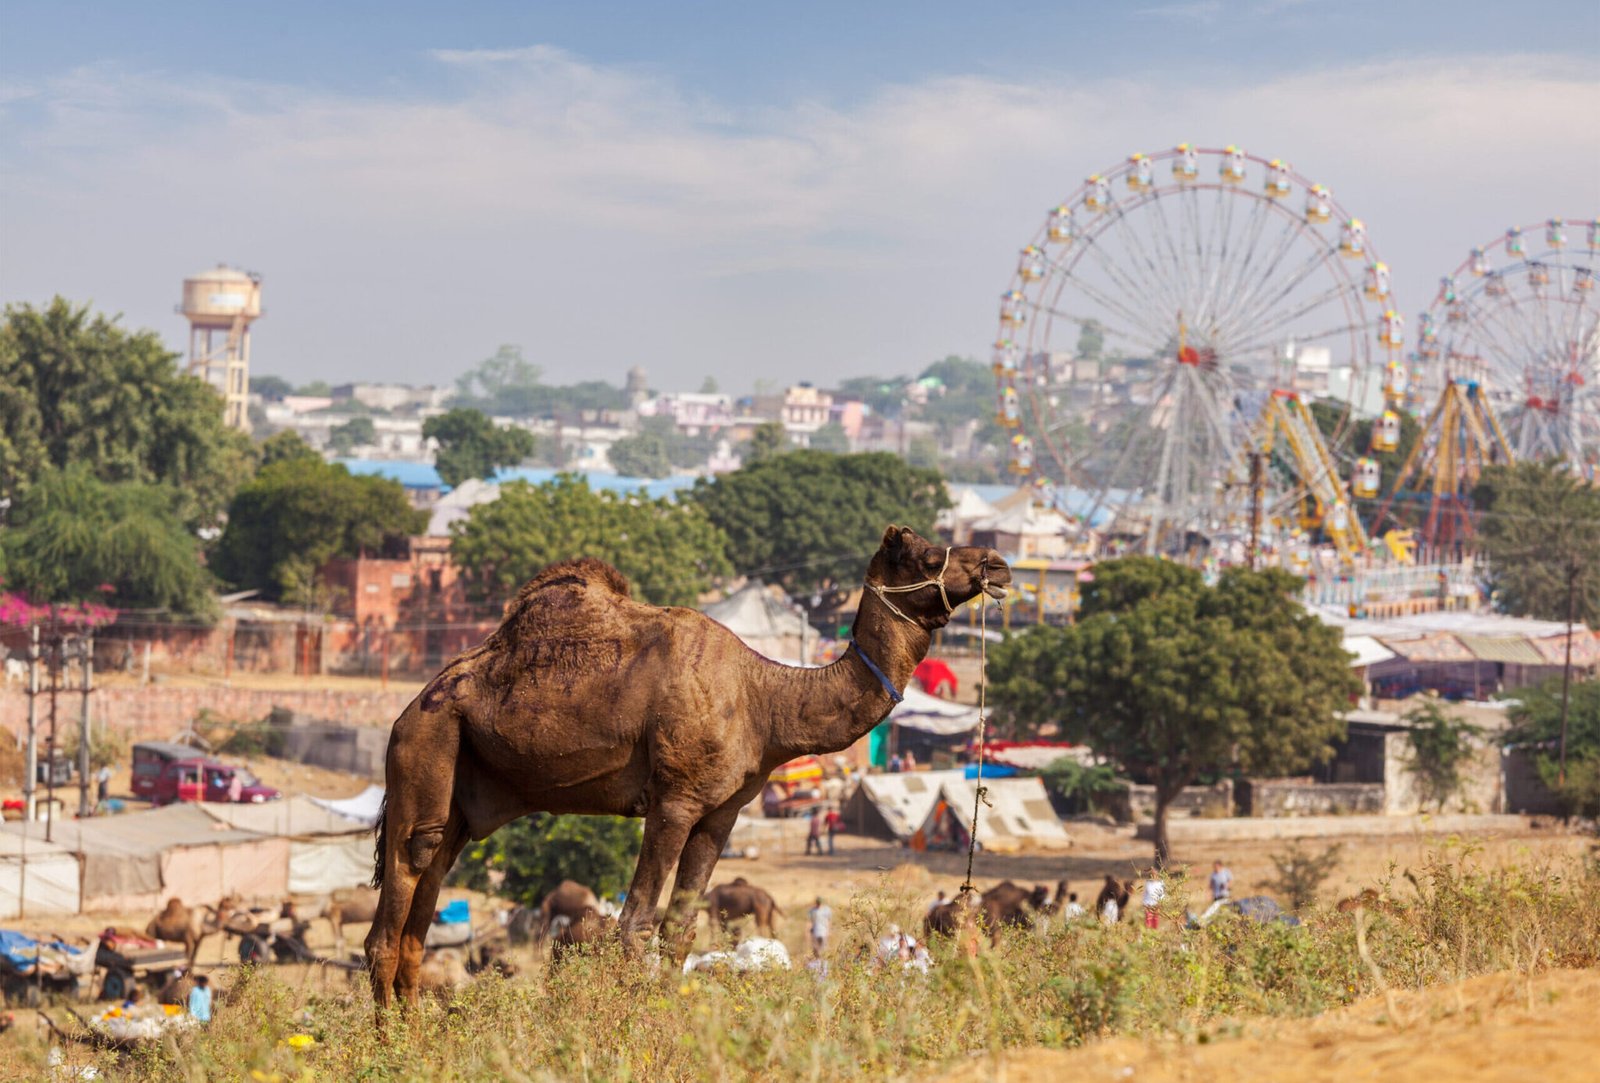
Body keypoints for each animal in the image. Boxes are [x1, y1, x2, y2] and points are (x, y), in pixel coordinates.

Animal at [366, 525, 1009, 1011]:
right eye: (926, 554)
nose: (997, 564)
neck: (764, 701)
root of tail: (405, 711)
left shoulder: (721, 812)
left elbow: (679, 929)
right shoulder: (675, 802)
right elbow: (635, 925)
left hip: (463, 791)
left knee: (425, 900)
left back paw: (415, 1034)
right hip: (425, 745)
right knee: (401, 891)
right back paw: (389, 1045)